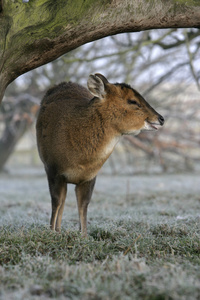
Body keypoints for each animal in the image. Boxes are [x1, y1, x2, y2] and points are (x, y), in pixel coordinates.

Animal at [36, 73, 164, 237]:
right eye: (133, 101)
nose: (161, 118)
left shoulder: (90, 176)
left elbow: (83, 205)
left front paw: (83, 235)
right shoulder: (52, 168)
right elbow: (56, 201)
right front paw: (51, 232)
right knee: (61, 201)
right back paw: (57, 230)